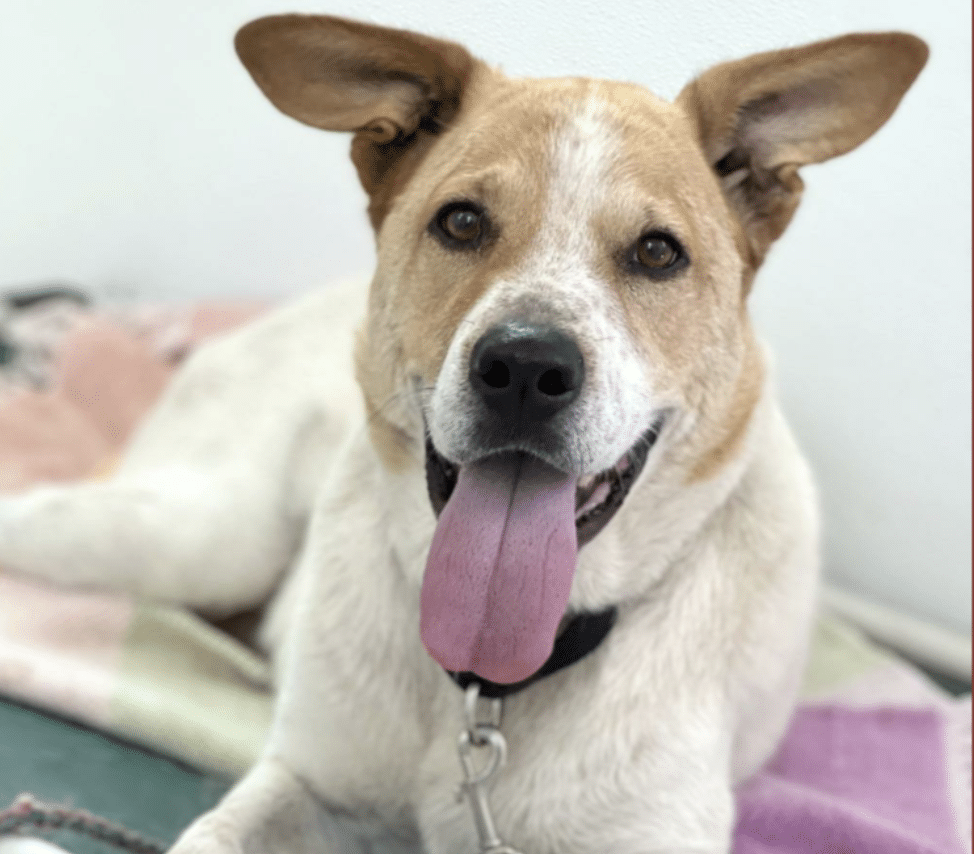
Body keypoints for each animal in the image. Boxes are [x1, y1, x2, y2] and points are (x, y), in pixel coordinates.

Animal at [1, 15, 932, 854]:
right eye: (461, 222)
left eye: (658, 253)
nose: (524, 369)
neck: (490, 682)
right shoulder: (306, 780)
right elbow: (215, 833)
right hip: (198, 534)